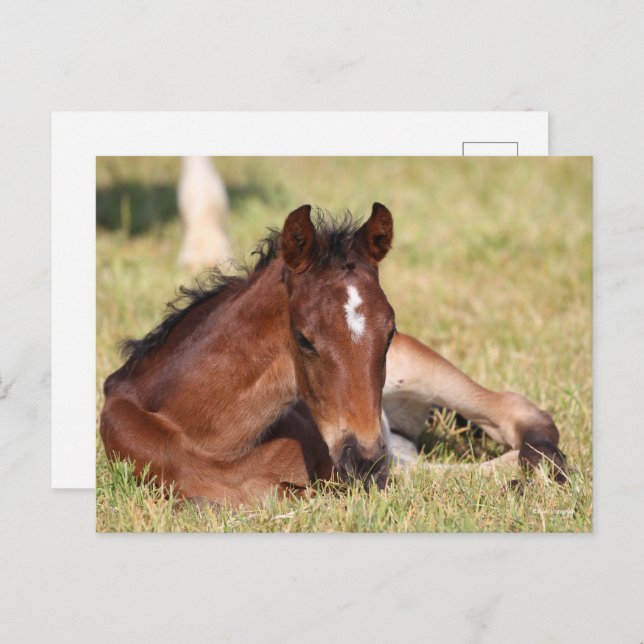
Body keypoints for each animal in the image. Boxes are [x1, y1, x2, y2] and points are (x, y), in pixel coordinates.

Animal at [100, 203, 566, 507]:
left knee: (516, 412)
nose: (364, 461)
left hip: (421, 373)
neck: (208, 438)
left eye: (390, 332)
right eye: (304, 339)